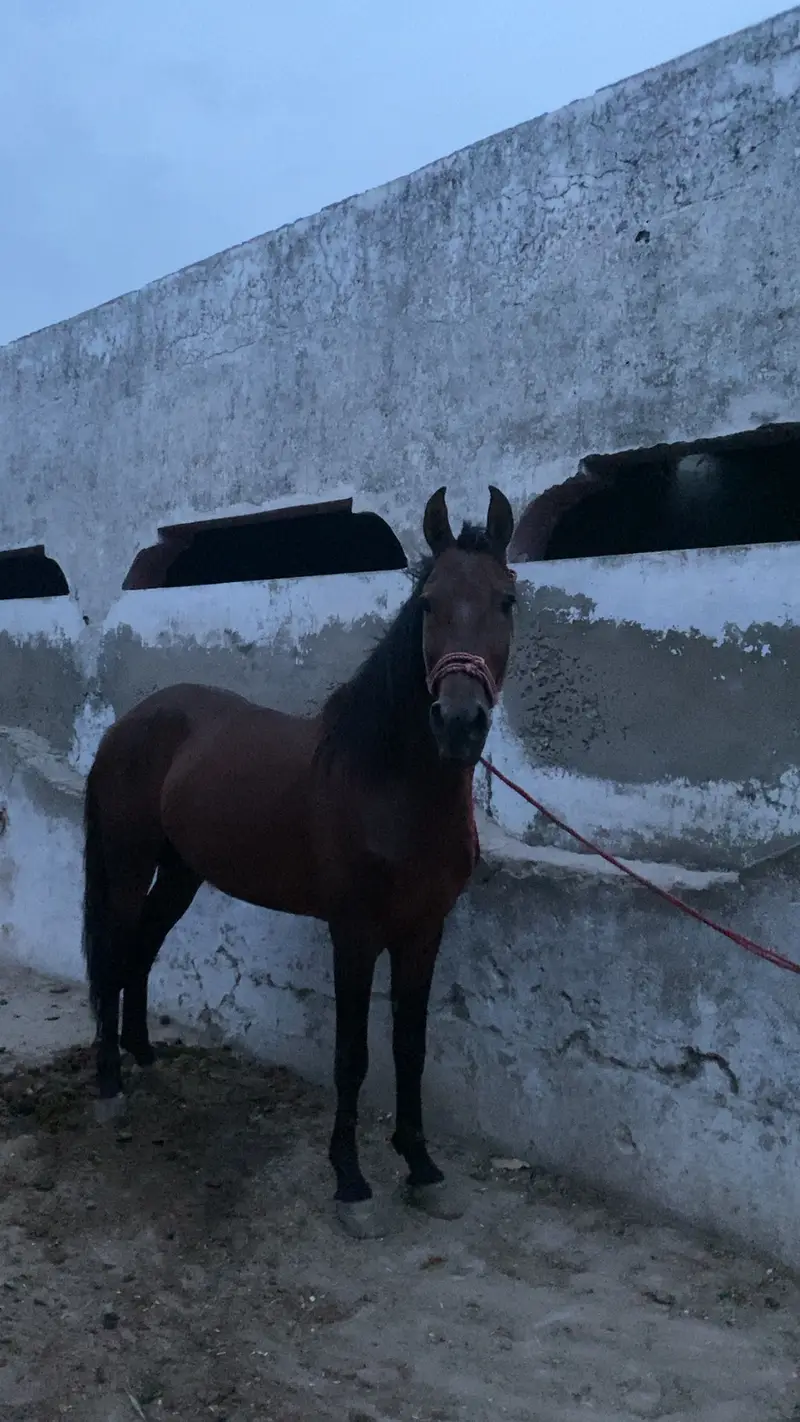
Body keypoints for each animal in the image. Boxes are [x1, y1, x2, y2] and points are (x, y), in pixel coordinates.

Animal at [82, 486, 516, 1235]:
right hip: (129, 865)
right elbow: (353, 1056)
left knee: (142, 950)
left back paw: (146, 1057)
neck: (388, 783)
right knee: (114, 954)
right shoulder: (355, 933)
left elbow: (409, 1048)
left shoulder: (423, 931)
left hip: (182, 872)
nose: (459, 724)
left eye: (507, 601)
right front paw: (351, 1183)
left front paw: (422, 1168)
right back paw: (111, 1084)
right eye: (429, 603)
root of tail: (128, 724)